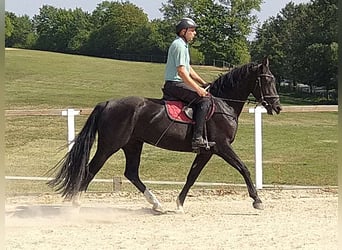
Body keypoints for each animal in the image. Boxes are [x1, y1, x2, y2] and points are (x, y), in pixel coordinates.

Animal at [49, 57, 282, 213]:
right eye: (267, 80)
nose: (277, 107)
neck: (224, 104)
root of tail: (107, 103)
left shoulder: (206, 151)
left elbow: (192, 176)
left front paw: (179, 203)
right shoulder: (222, 146)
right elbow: (244, 169)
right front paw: (257, 200)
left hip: (133, 144)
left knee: (131, 173)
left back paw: (156, 204)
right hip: (110, 146)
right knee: (90, 170)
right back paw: (75, 204)